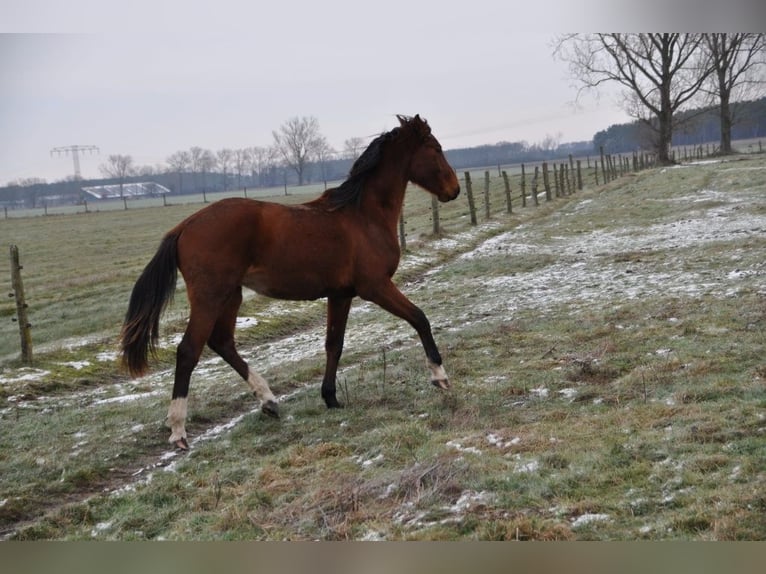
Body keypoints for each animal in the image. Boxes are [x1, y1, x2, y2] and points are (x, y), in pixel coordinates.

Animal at [117, 115, 460, 452]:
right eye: (436, 148)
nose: (454, 189)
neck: (363, 216)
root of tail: (184, 226)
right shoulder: (375, 287)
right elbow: (419, 318)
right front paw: (439, 377)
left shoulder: (341, 295)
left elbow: (334, 344)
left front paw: (331, 398)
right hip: (210, 297)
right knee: (189, 350)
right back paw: (178, 430)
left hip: (231, 296)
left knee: (222, 342)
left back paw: (268, 401)